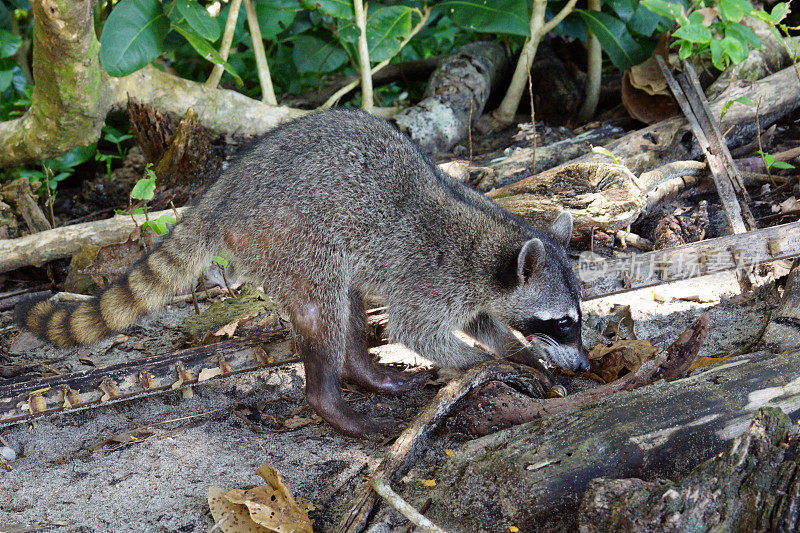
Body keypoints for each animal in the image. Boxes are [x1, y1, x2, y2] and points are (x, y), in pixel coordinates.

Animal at [14, 109, 588, 436]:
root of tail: (222, 193)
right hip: (289, 235)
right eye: (562, 322)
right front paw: (489, 364)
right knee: (322, 306)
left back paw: (362, 369)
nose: (583, 364)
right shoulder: (434, 276)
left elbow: (483, 323)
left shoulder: (476, 290)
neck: (497, 245)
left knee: (347, 298)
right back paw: (330, 399)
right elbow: (417, 330)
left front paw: (516, 351)